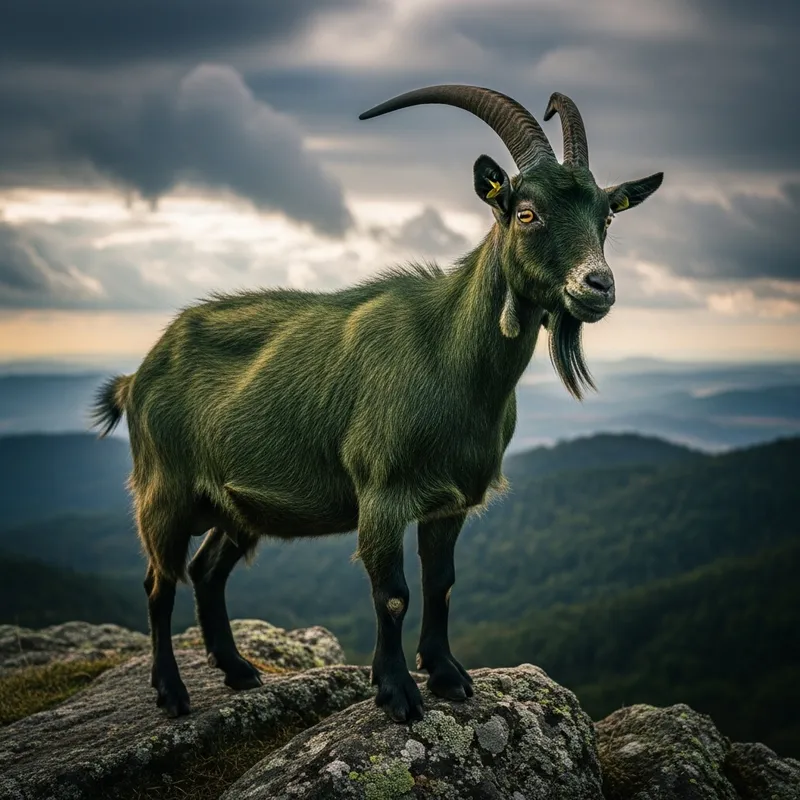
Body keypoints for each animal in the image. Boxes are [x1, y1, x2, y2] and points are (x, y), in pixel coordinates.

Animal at [91, 85, 662, 722]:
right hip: (162, 490)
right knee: (159, 583)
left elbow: (441, 584)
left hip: (235, 504)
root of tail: (137, 375)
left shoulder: (450, 501)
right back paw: (171, 692)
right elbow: (392, 594)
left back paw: (239, 672)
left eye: (606, 215)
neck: (448, 356)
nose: (598, 286)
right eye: (526, 212)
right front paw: (398, 693)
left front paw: (448, 675)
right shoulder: (382, 495)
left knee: (205, 571)